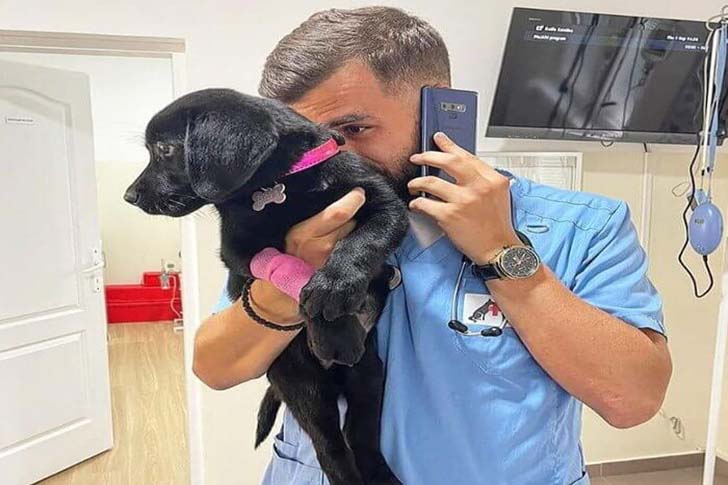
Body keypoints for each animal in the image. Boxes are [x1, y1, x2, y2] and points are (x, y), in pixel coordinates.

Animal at [125, 88, 408, 485]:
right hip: (303, 386)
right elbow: (291, 265)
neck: (281, 184)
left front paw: (334, 288)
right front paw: (333, 326)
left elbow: (362, 242)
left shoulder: (384, 204)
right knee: (331, 449)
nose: (129, 196)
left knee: (360, 439)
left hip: (369, 377)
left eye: (164, 150)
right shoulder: (240, 251)